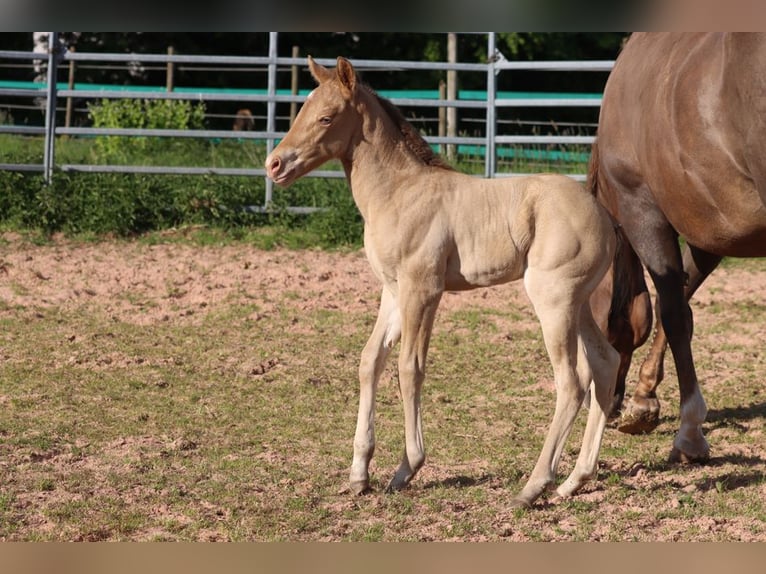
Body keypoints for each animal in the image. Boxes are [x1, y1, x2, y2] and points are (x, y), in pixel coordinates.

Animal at [265, 56, 620, 508]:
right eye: (302, 111)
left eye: (326, 117)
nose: (274, 165)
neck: (400, 193)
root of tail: (604, 216)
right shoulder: (393, 291)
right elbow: (370, 360)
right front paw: (359, 473)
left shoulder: (423, 291)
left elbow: (409, 367)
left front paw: (406, 468)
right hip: (579, 302)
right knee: (606, 363)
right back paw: (575, 480)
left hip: (553, 301)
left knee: (572, 383)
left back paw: (533, 487)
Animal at [588, 32, 766, 462]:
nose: (608, 402)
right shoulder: (712, 227)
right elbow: (683, 299)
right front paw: (643, 397)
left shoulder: (643, 210)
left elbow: (672, 312)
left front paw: (688, 433)